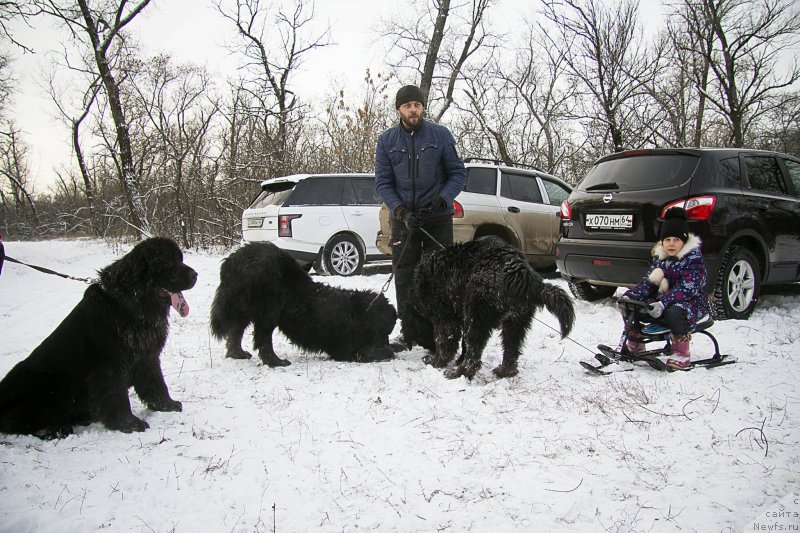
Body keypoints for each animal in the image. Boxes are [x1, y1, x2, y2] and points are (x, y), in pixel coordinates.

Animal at [0, 237, 197, 436]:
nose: (195, 274)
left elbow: (156, 382)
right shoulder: (110, 365)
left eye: (180, 259)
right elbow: (117, 395)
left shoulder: (147, 356)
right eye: (167, 262)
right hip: (53, 387)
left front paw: (167, 404)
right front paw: (129, 424)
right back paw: (56, 430)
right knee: (19, 422)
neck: (130, 305)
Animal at [206, 242, 394, 364]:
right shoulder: (348, 346)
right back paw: (275, 361)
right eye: (384, 330)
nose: (386, 344)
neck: (360, 313)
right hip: (269, 308)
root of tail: (234, 260)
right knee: (263, 338)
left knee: (236, 331)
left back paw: (237, 353)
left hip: (243, 307)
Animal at [412, 237, 576, 378]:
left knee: (474, 353)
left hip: (477, 314)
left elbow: (444, 340)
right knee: (511, 348)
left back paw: (459, 372)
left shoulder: (444, 315)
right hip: (515, 321)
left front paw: (436, 361)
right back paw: (505, 370)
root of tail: (520, 274)